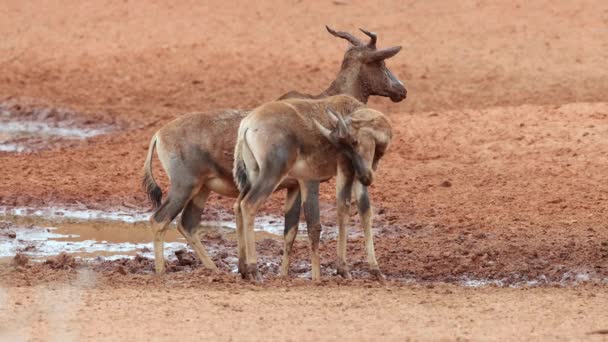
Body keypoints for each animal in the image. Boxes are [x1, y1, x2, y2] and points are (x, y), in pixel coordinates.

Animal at [233, 95, 394, 282]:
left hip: (253, 175)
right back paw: (255, 271)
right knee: (249, 204)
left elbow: (365, 212)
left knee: (238, 205)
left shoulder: (355, 176)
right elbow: (343, 209)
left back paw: (245, 270)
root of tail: (247, 124)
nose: (366, 177)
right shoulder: (345, 169)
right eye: (352, 142)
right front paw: (343, 269)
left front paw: (376, 270)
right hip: (272, 174)